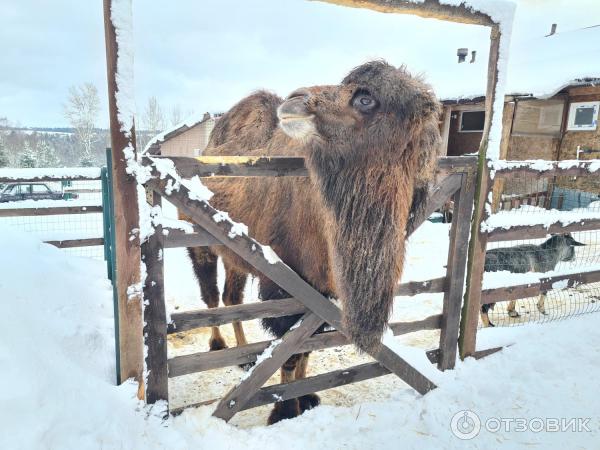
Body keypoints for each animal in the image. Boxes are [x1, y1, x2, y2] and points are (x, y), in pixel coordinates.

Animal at [185, 61, 442, 424]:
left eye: (365, 99)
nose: (295, 99)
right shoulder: (286, 288)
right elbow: (290, 353)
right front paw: (282, 411)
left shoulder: (322, 290)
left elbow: (308, 349)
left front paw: (306, 398)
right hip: (199, 241)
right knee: (209, 296)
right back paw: (219, 346)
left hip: (238, 253)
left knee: (231, 296)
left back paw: (244, 357)